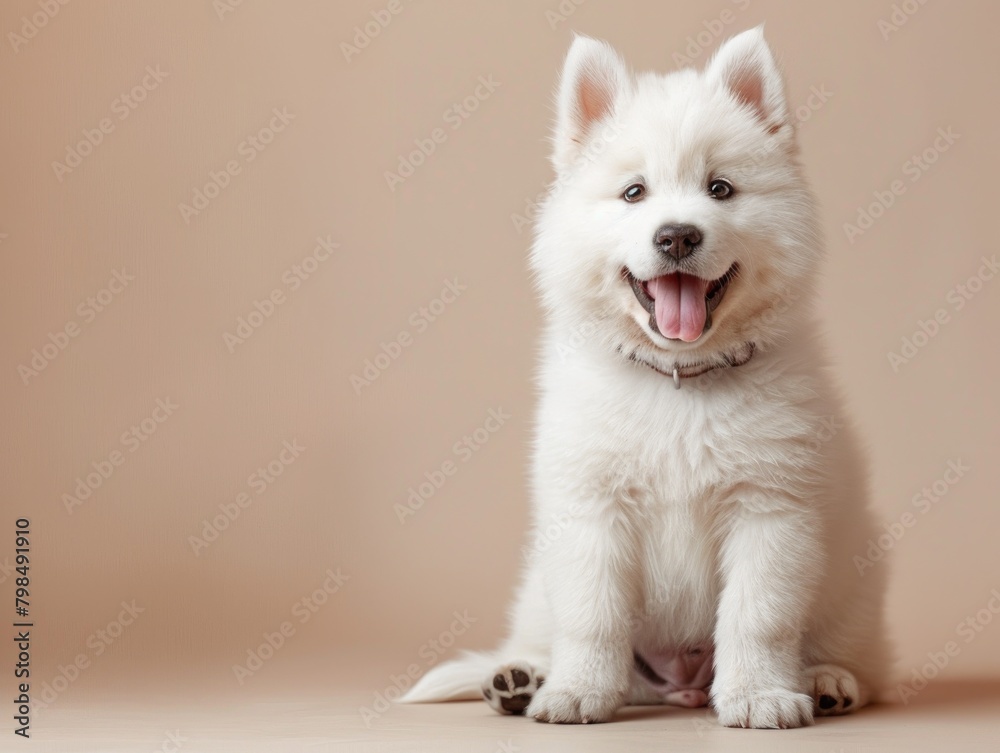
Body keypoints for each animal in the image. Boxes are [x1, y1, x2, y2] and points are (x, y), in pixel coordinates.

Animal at [398, 26, 892, 724]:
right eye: (633, 193)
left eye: (721, 189)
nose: (677, 236)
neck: (678, 381)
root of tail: (679, 685)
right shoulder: (592, 509)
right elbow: (593, 615)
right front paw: (578, 693)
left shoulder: (771, 510)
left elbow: (758, 616)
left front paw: (760, 695)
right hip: (537, 582)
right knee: (544, 636)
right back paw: (521, 678)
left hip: (854, 580)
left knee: (851, 654)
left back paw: (824, 680)